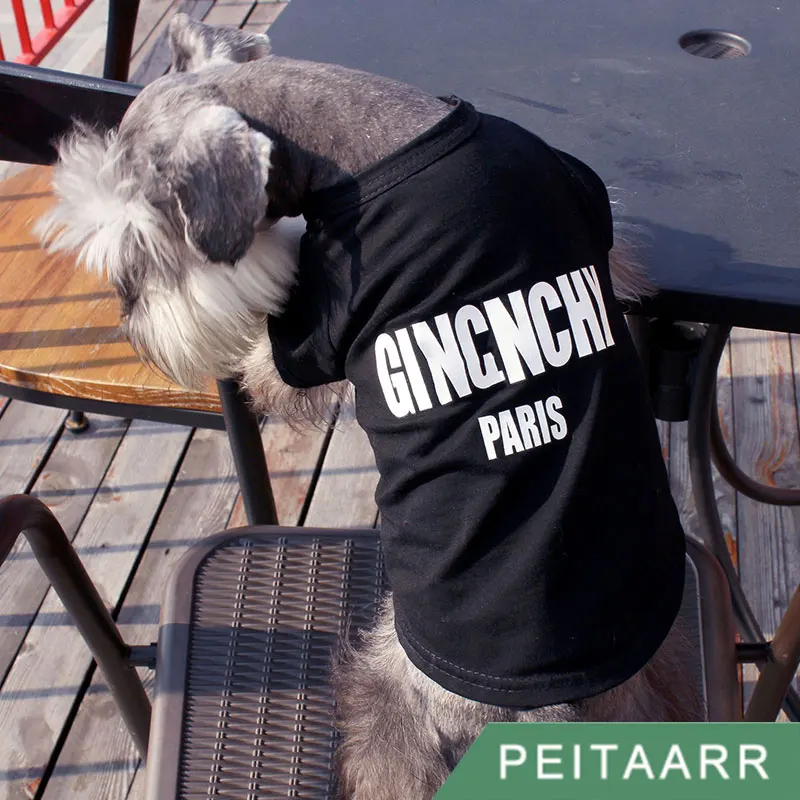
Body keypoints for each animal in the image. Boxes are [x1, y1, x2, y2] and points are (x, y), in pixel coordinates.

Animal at [38, 14, 703, 800]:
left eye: (142, 250)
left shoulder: (309, 337)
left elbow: (273, 363)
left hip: (385, 683)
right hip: (647, 668)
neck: (382, 136)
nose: (134, 326)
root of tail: (542, 720)